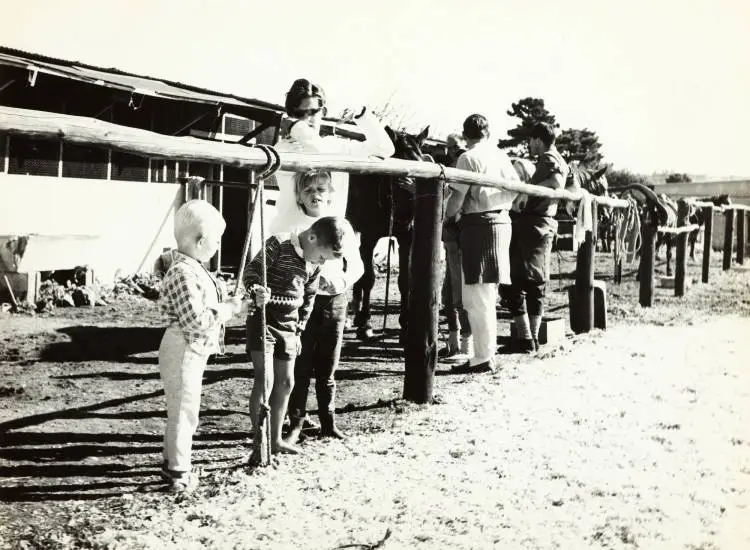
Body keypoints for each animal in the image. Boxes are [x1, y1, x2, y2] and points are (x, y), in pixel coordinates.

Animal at [346, 127, 428, 344]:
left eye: (421, 162)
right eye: (397, 168)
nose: (411, 215)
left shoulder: (406, 239)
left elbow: (405, 280)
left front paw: (405, 325)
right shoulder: (368, 237)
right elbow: (368, 278)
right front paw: (366, 324)